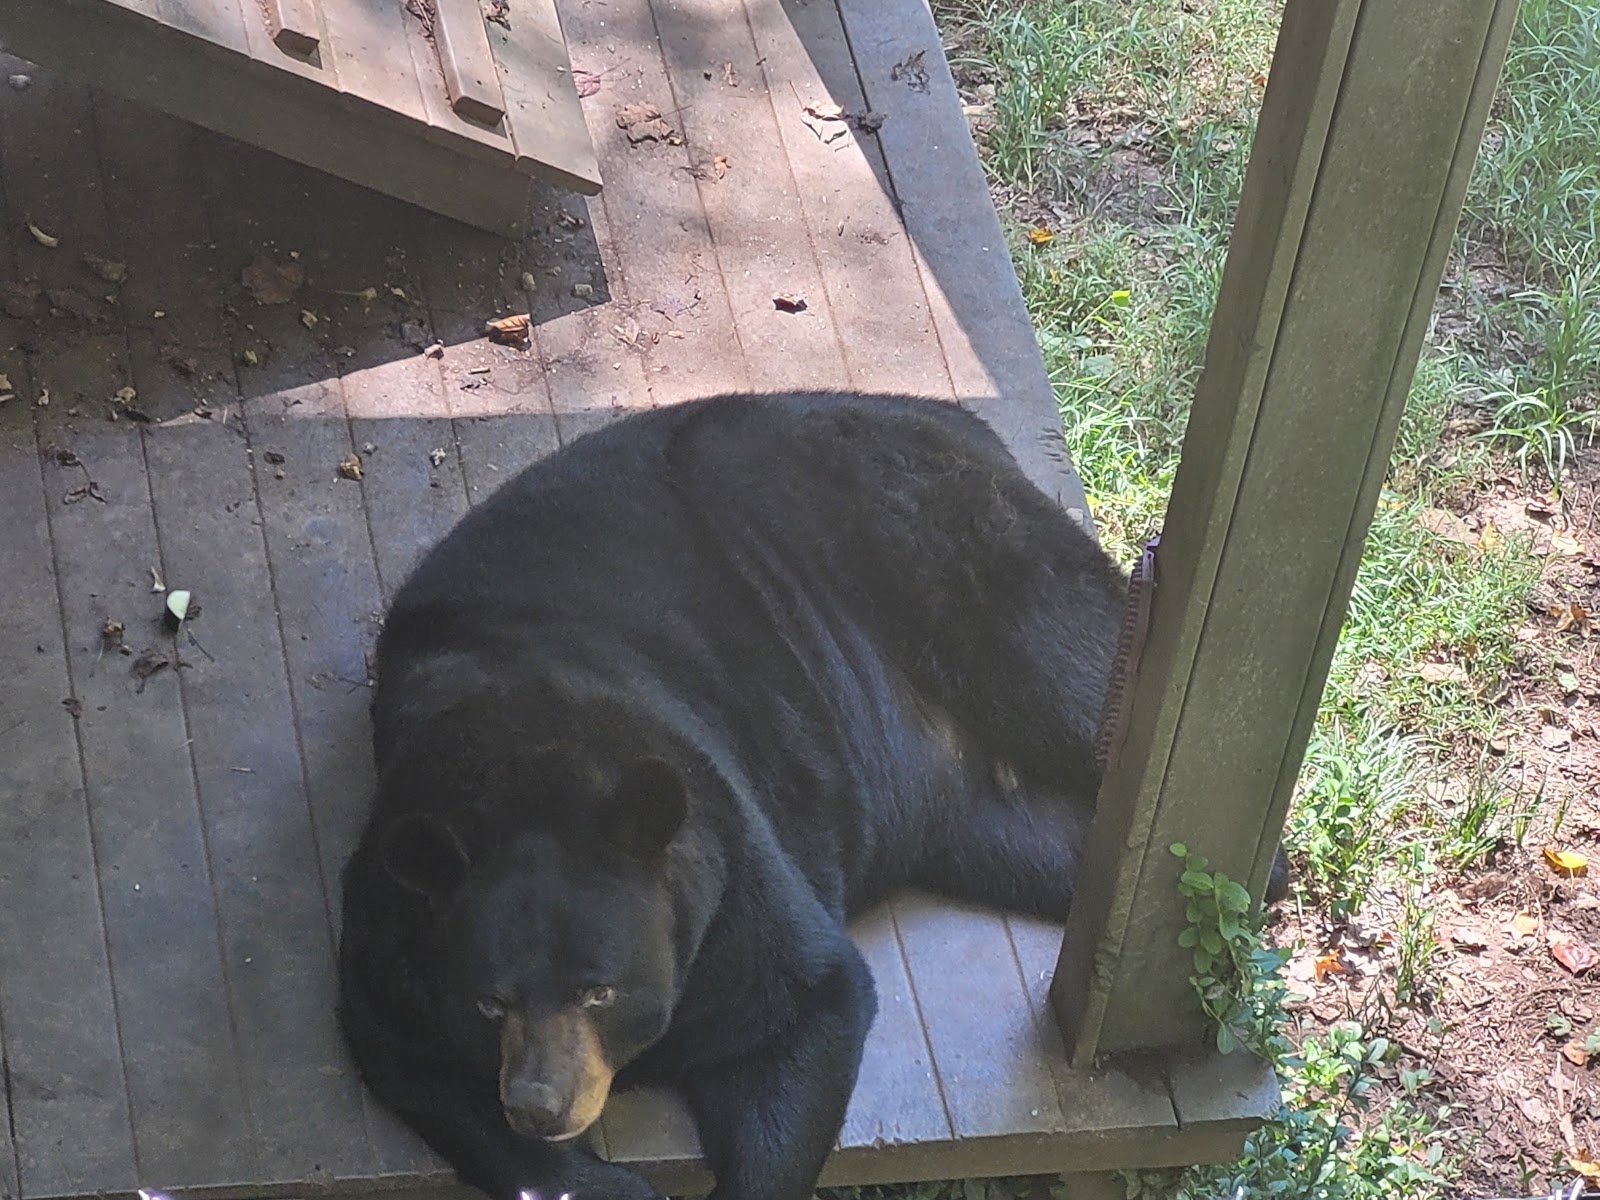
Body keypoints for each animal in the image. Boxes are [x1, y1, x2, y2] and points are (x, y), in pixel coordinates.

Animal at [336, 391, 1283, 1200]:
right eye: (487, 1000)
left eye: (598, 991)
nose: (540, 1102)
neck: (526, 765)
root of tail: (945, 416)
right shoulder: (392, 924)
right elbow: (411, 1067)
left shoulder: (725, 873)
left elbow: (807, 1002)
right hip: (975, 813)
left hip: (953, 551)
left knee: (1086, 673)